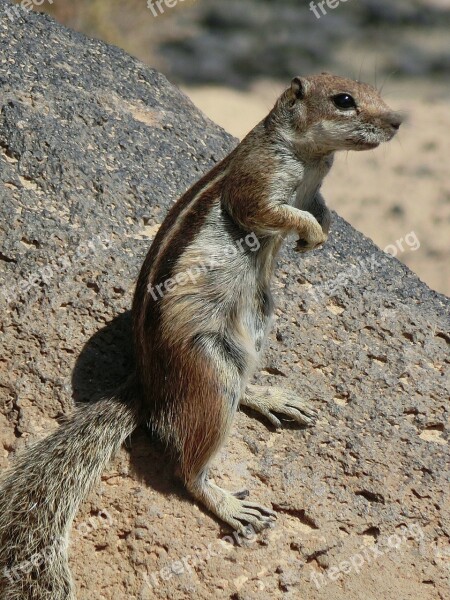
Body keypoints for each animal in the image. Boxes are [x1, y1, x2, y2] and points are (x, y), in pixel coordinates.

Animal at [0, 72, 400, 596]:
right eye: (345, 100)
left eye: (373, 90)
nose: (397, 121)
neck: (310, 156)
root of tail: (148, 382)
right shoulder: (257, 184)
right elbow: (276, 212)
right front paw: (310, 233)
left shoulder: (314, 192)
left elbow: (320, 210)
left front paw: (321, 233)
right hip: (206, 367)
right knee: (187, 467)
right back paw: (228, 502)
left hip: (258, 320)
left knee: (240, 381)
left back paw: (268, 396)